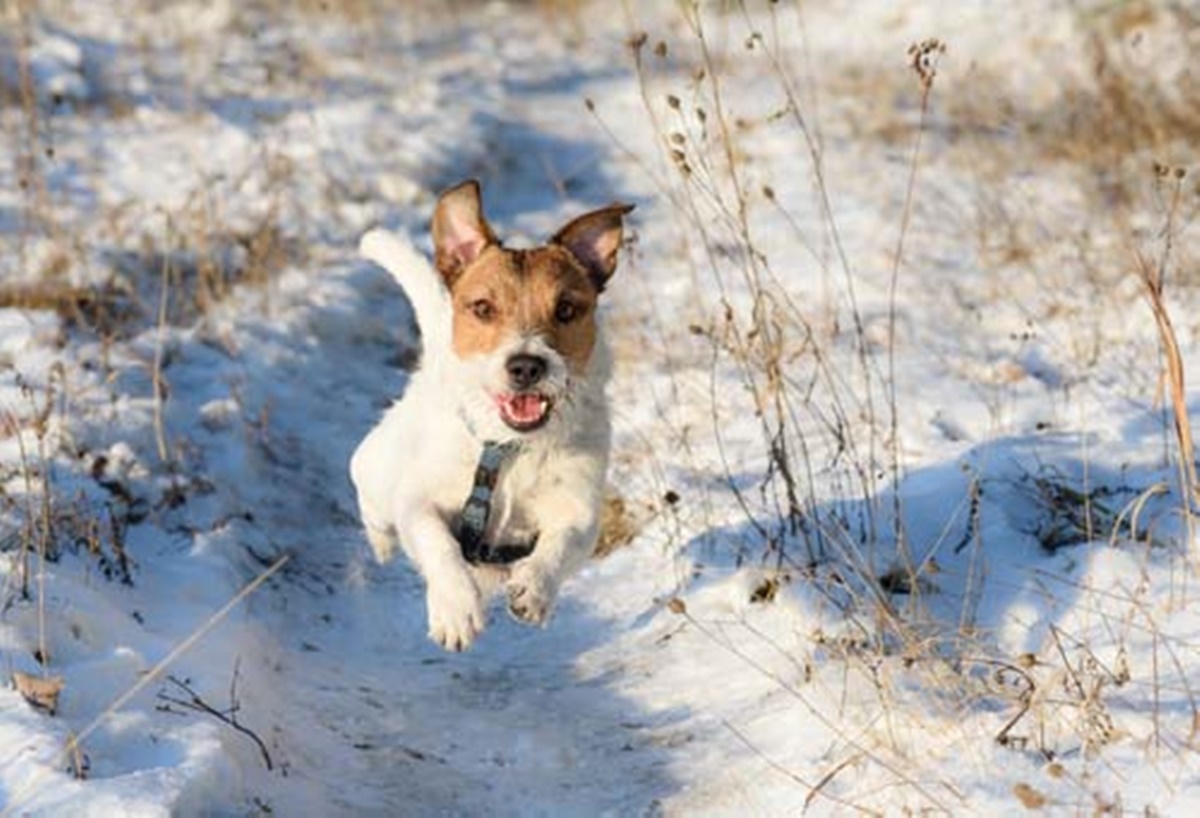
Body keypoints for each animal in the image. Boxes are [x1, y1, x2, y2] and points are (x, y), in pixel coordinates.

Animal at [350, 179, 638, 647]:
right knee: (373, 508)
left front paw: (534, 589)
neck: (507, 447)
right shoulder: (420, 500)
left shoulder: (579, 510)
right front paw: (455, 609)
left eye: (566, 309)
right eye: (483, 308)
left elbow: (562, 543)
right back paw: (382, 545)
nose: (526, 366)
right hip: (375, 470)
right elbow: (438, 542)